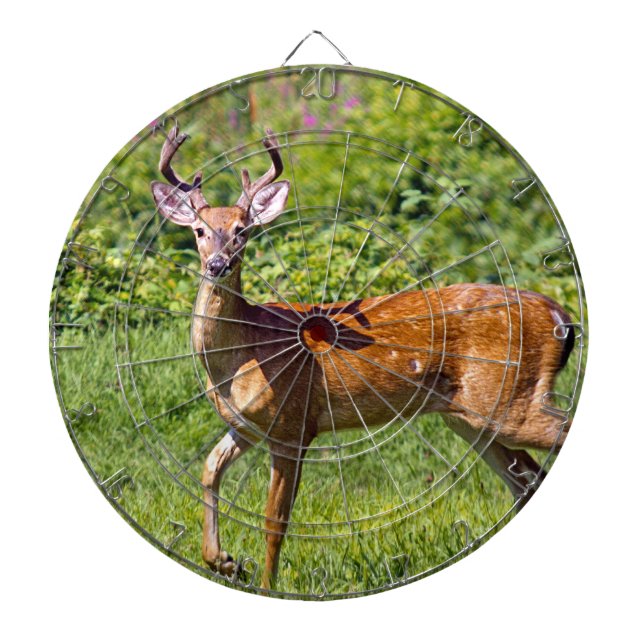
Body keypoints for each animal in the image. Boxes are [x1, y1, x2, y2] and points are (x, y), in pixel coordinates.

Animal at [151, 122, 575, 591]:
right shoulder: (246, 424)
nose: (218, 264)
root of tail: (560, 316)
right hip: (470, 416)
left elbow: (274, 520)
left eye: (243, 229)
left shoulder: (294, 423)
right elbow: (209, 470)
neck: (240, 355)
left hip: (509, 401)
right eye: (200, 230)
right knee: (526, 478)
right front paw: (224, 561)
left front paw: (266, 584)